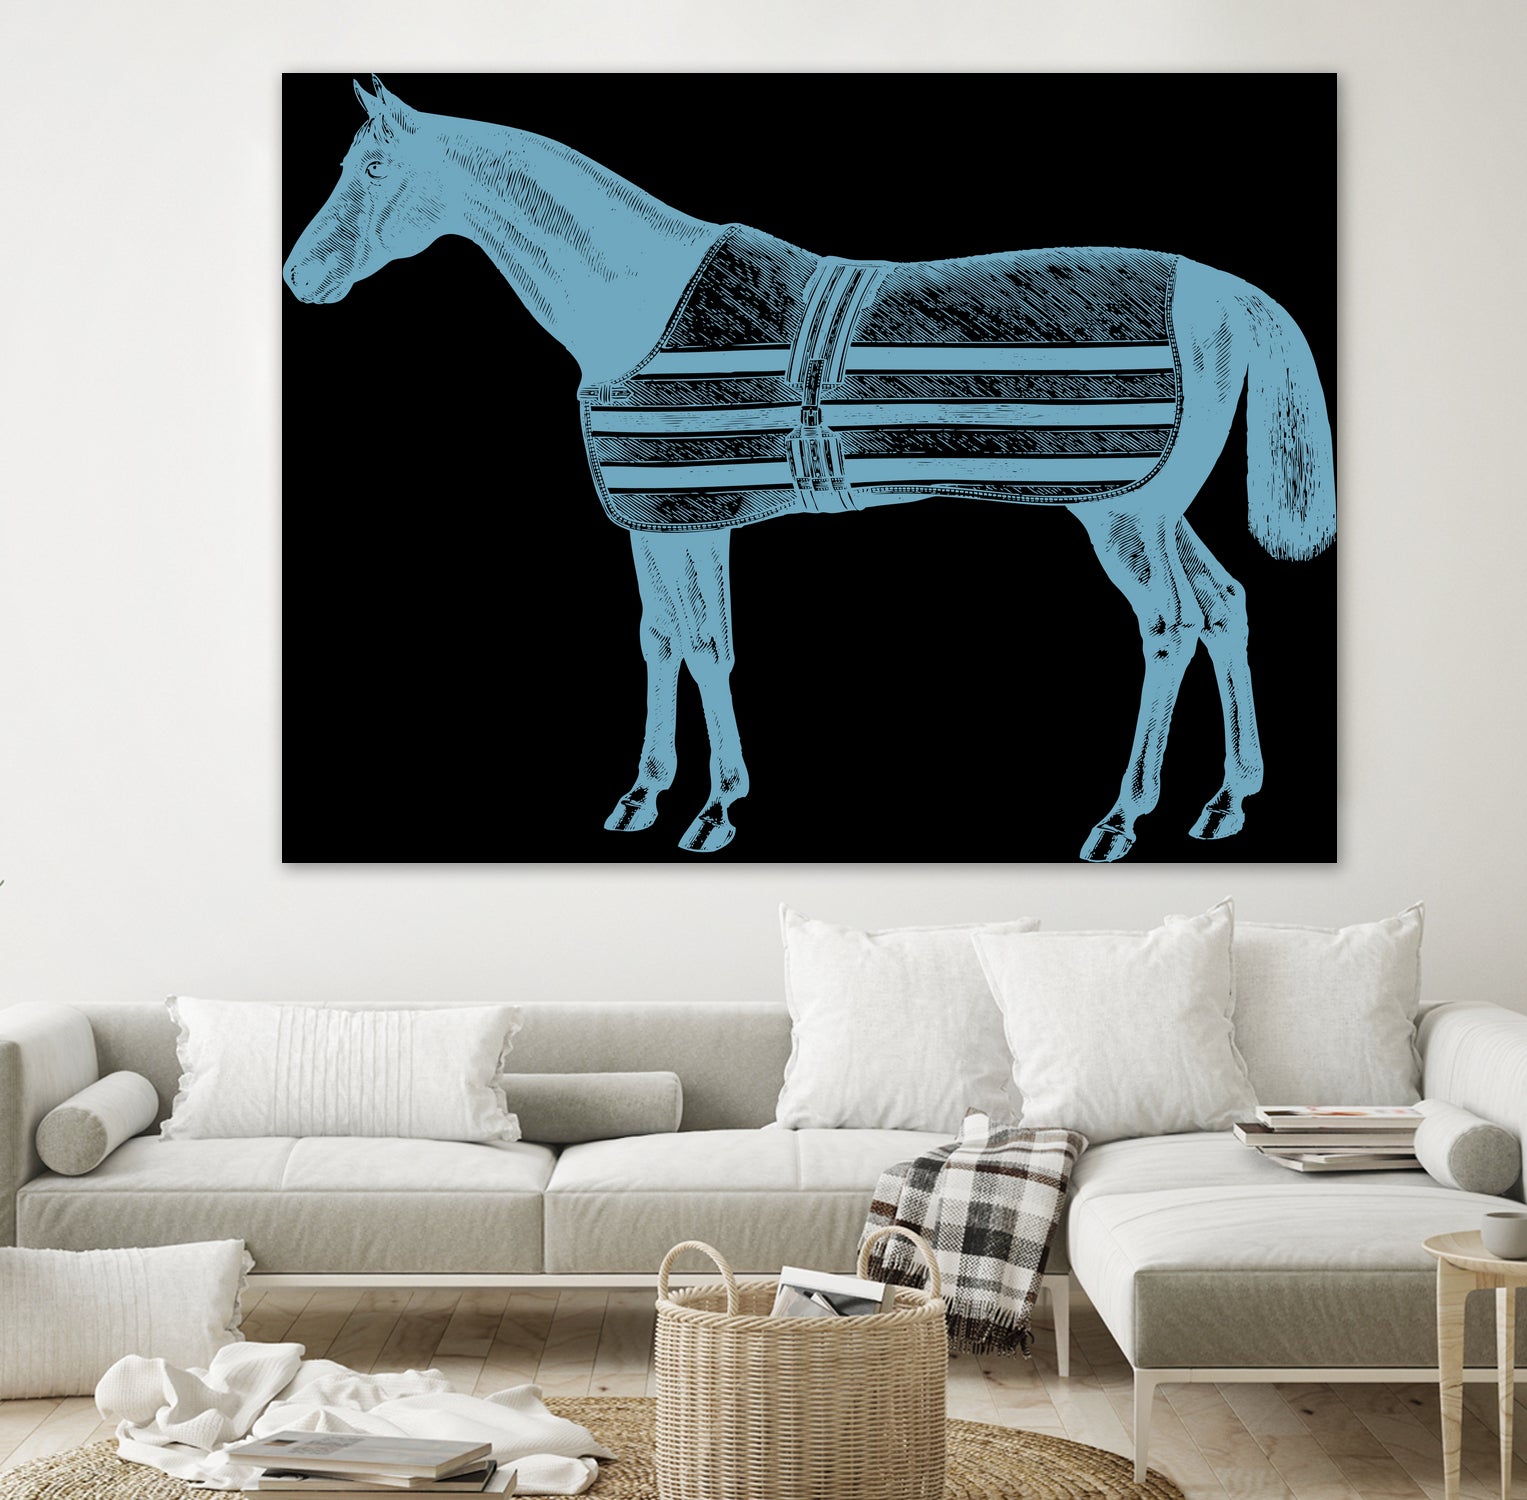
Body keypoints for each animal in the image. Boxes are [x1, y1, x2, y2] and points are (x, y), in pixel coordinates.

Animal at [283, 77, 1334, 861]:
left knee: (1168, 628)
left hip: (1122, 515)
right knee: (1224, 607)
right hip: (1155, 507)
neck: (635, 304)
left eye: (371, 166)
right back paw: (1225, 803)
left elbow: (707, 644)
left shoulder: (699, 516)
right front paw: (642, 796)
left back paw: (1121, 818)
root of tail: (1221, 288)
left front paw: (714, 812)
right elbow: (658, 640)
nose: (300, 277)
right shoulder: (655, 522)